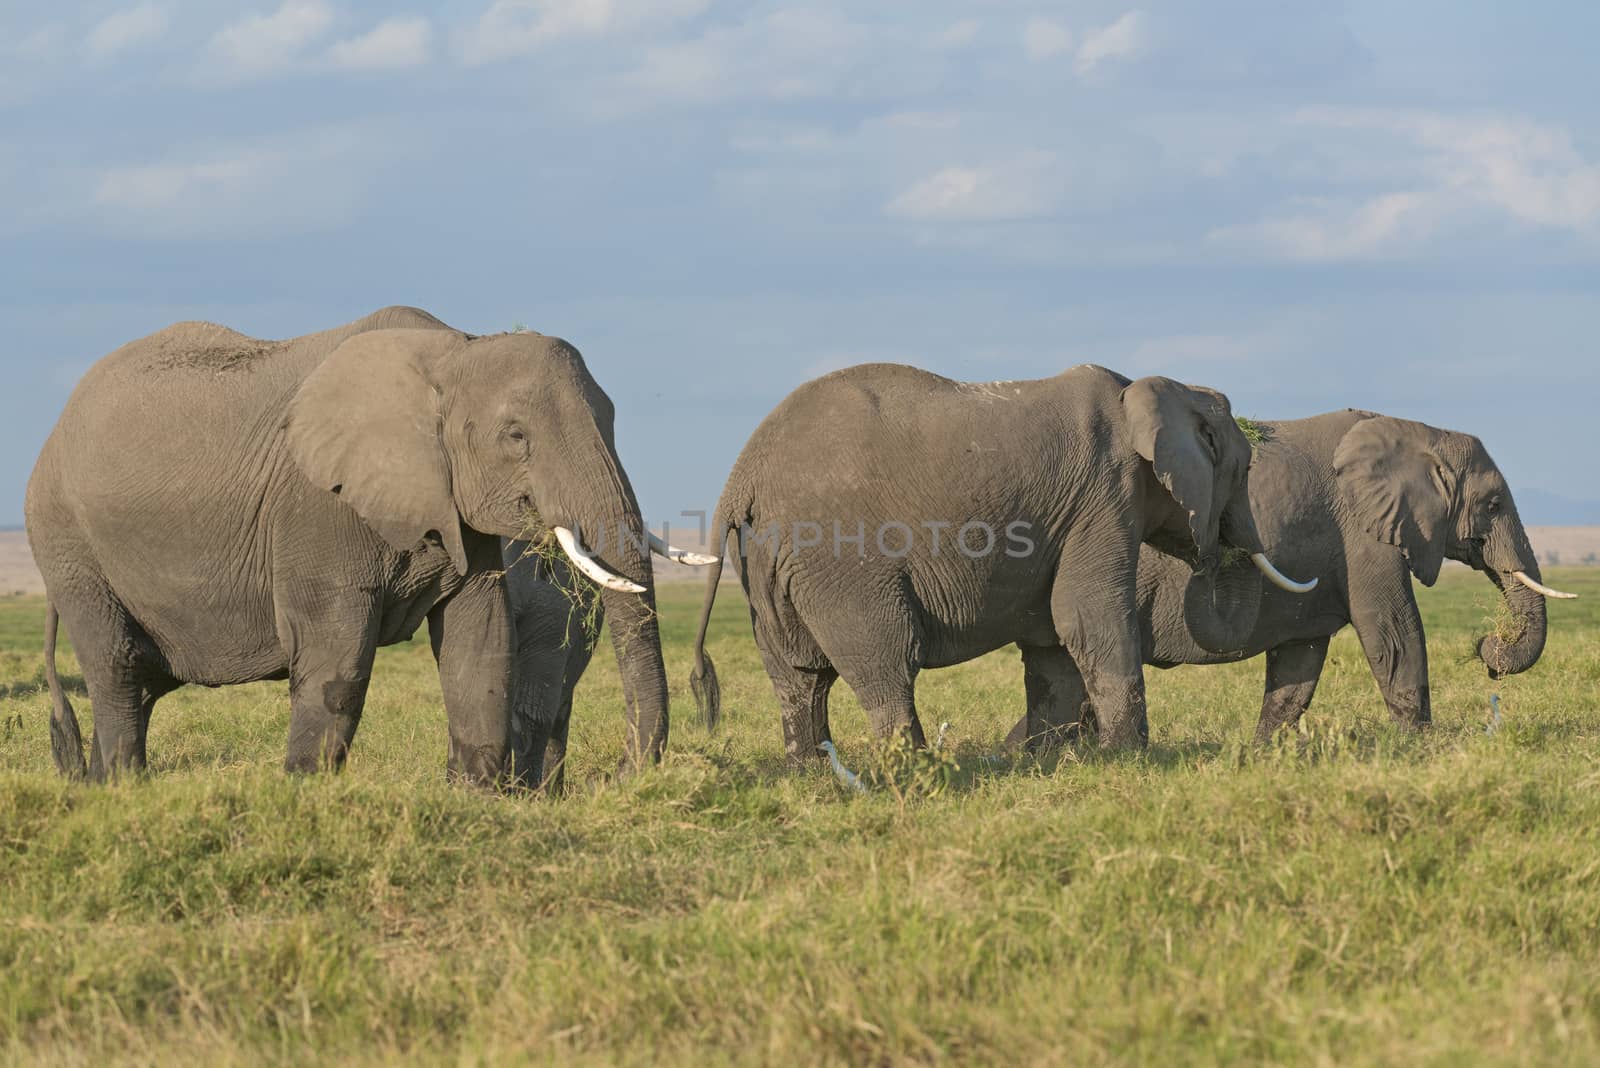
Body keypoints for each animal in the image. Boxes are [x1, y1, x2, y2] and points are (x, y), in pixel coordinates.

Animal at [29, 303, 681, 780]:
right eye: (516, 435)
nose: (622, 774)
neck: (453, 350)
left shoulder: (456, 508)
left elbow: (481, 640)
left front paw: (476, 801)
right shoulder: (316, 507)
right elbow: (336, 654)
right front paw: (304, 795)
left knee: (141, 684)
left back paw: (97, 787)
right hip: (68, 543)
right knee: (116, 671)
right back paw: (123, 790)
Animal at [684, 361, 1312, 757]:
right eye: (1245, 468)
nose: (1220, 549)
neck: (1149, 389)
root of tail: (741, 478)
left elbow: (1053, 640)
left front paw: (1045, 762)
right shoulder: (1104, 494)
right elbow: (1087, 617)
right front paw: (1130, 760)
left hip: (767, 559)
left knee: (798, 673)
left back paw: (811, 775)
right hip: (838, 556)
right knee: (885, 657)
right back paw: (914, 773)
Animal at [998, 409, 1574, 751]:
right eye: (1493, 504)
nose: (1488, 650)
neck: (1421, 433)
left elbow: (1299, 664)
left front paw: (1261, 756)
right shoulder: (1365, 534)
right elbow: (1393, 633)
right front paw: (1423, 748)